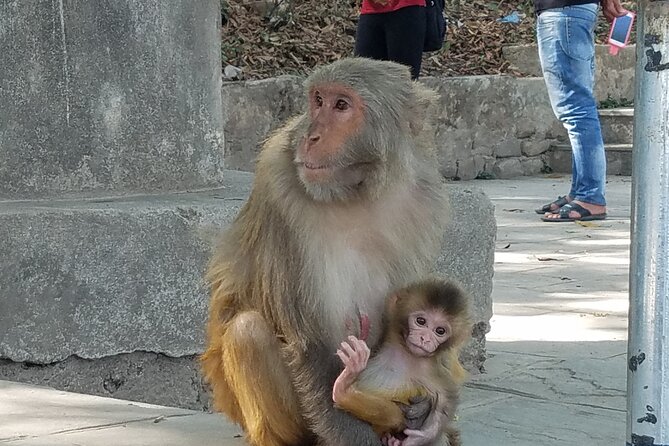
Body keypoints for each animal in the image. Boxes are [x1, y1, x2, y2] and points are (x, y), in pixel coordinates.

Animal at [200, 58, 448, 446]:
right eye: (317, 100)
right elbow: (310, 343)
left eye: (341, 105)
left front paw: (423, 417)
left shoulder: (424, 198)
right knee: (247, 331)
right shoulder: (279, 186)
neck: (357, 192)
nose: (309, 136)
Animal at [330, 280, 470, 444]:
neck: (407, 355)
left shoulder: (432, 371)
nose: (425, 339)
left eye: (440, 331)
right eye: (421, 321)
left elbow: (446, 400)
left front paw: (419, 437)